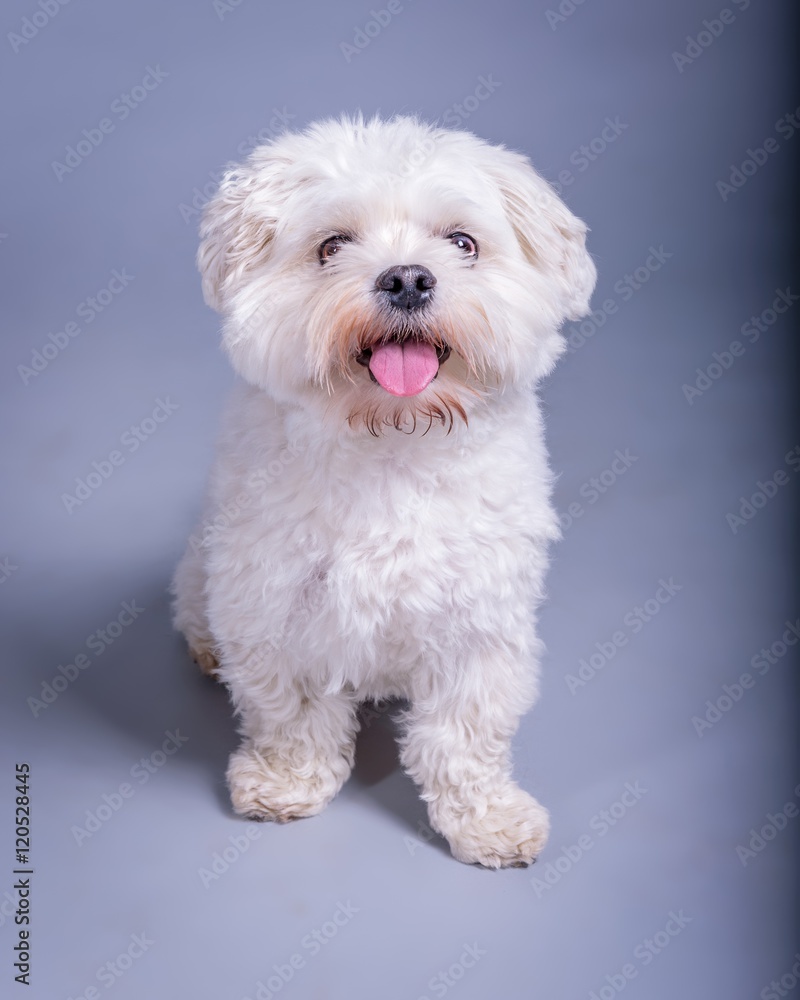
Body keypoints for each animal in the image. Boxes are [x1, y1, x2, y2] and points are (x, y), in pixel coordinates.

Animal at [172, 115, 596, 868]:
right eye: (332, 245)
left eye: (462, 242)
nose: (406, 278)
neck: (393, 439)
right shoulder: (276, 599)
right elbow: (291, 711)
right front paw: (286, 782)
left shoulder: (479, 620)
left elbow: (466, 734)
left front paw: (488, 819)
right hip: (205, 567)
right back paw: (206, 648)